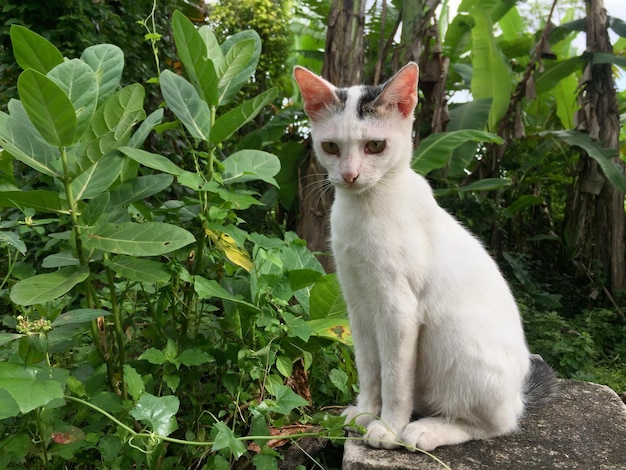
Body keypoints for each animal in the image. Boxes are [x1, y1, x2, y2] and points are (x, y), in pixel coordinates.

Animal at [292, 63, 556, 452]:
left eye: (375, 145)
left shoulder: (398, 310)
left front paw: (387, 427)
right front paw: (364, 412)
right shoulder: (357, 304)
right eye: (331, 147)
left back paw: (425, 430)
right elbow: (369, 367)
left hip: (454, 339)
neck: (364, 209)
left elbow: (394, 378)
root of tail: (518, 395)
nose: (350, 175)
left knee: (496, 424)